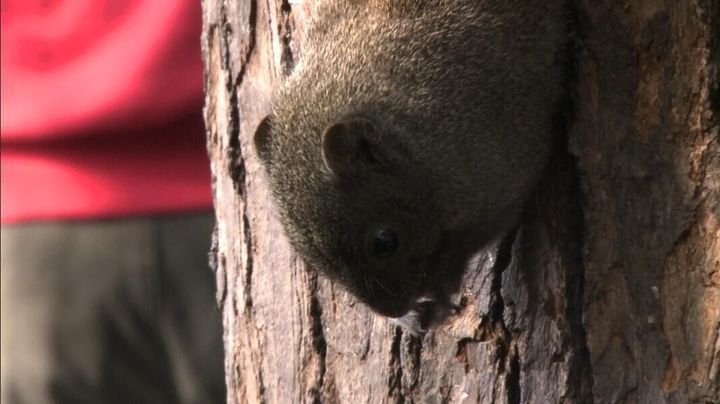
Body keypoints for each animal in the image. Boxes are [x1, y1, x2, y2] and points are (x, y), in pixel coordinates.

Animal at [253, 0, 568, 332]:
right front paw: (411, 316)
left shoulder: (501, 161)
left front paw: (439, 291)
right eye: (311, 259)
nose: (392, 309)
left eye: (385, 242)